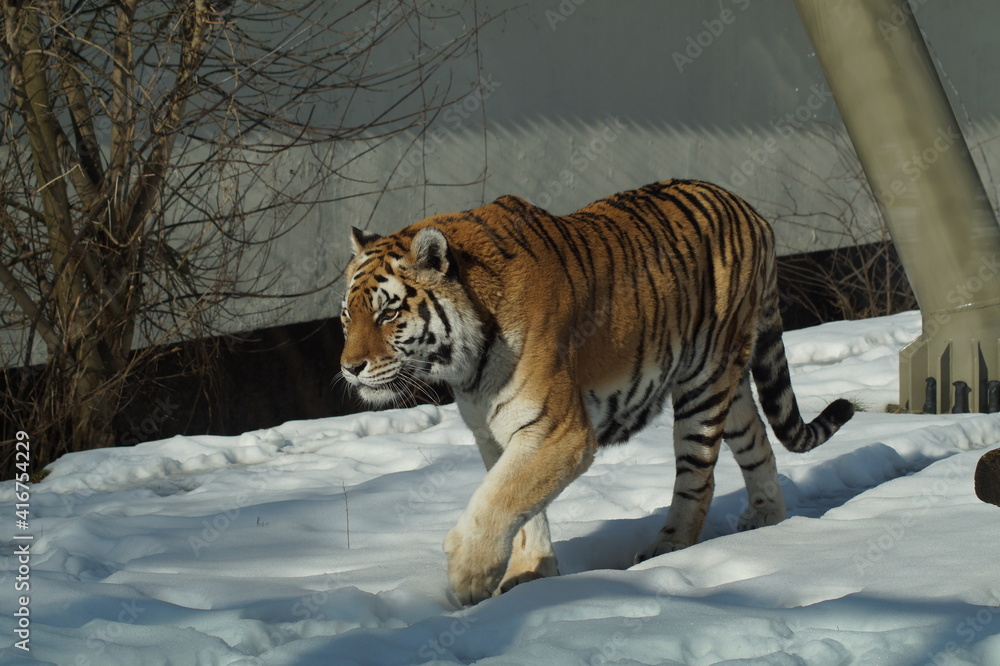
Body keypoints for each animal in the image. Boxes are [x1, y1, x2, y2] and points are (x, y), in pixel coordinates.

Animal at [340, 179, 855, 605]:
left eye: (387, 314)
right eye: (347, 316)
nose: (349, 368)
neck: (464, 363)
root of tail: (751, 210)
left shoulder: (558, 431)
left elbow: (501, 497)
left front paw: (469, 576)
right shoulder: (495, 434)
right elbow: (523, 509)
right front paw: (530, 575)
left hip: (703, 384)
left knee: (698, 478)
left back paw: (667, 549)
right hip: (729, 381)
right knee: (758, 442)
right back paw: (767, 520)